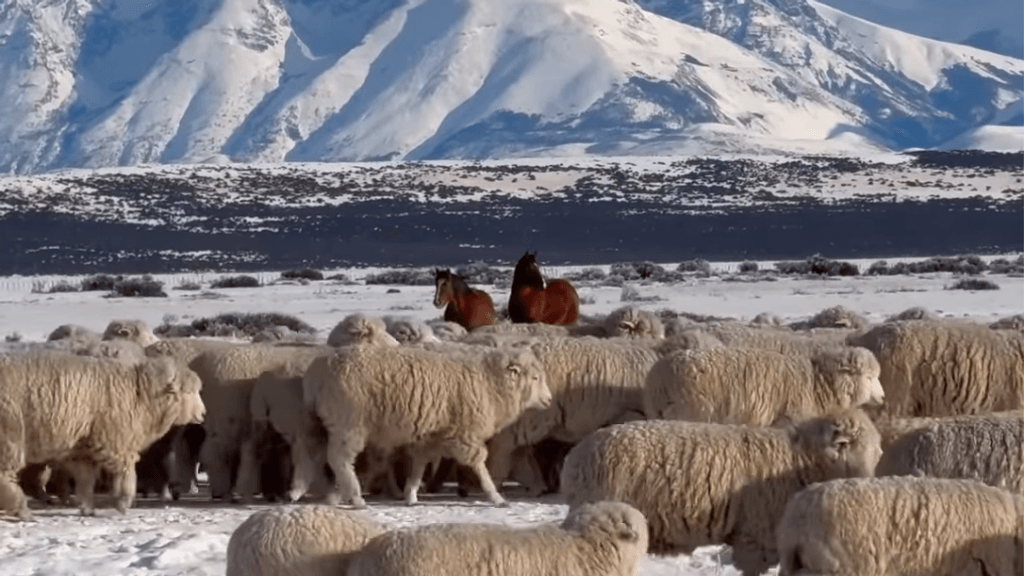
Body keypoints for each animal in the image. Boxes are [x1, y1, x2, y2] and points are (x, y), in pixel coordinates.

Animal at [0, 353, 205, 519]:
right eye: (188, 392)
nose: (203, 414)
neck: (139, 394)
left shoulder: (82, 450)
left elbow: (86, 480)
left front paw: (87, 508)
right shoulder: (115, 441)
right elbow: (125, 473)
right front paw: (123, 502)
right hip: (9, 433)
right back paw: (21, 508)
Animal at [303, 344, 551, 507]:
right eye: (535, 378)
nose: (549, 400)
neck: (489, 382)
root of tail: (319, 371)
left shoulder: (433, 436)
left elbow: (420, 465)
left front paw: (411, 495)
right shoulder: (465, 433)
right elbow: (479, 465)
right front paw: (496, 497)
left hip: (334, 425)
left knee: (326, 458)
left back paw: (336, 494)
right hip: (349, 424)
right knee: (339, 459)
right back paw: (355, 497)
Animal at [485, 337, 662, 495]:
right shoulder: (629, 415)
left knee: (518, 452)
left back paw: (536, 485)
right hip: (528, 418)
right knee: (502, 449)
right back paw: (498, 482)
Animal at [559, 408, 883, 575]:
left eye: (877, 452)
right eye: (845, 446)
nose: (868, 481)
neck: (801, 460)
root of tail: (574, 458)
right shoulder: (755, 538)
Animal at [643, 346, 884, 426]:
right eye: (869, 377)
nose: (883, 398)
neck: (818, 383)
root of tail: (657, 378)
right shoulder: (791, 418)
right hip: (691, 411)